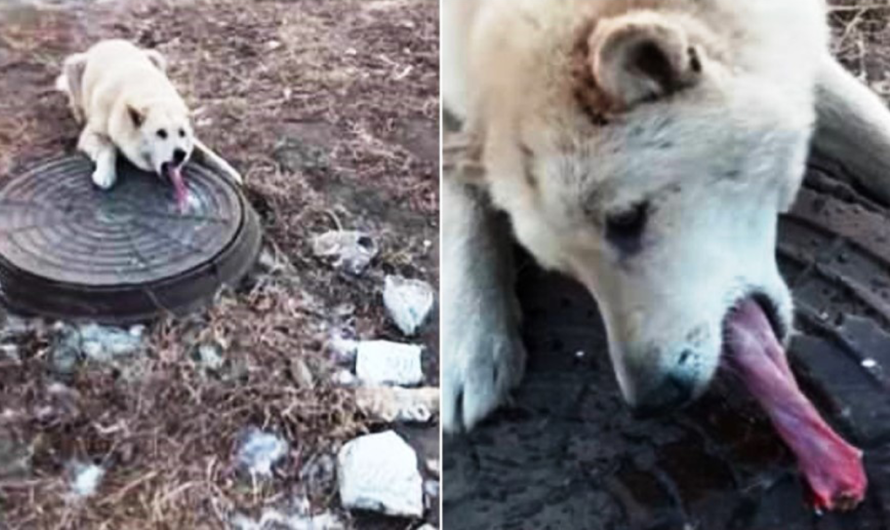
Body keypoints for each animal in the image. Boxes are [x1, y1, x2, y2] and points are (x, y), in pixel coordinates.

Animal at [56, 39, 243, 208]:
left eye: (182, 133)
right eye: (161, 133)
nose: (180, 154)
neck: (150, 97)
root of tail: (108, 41)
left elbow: (206, 152)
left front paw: (229, 171)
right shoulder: (92, 133)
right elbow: (109, 148)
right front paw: (105, 175)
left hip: (155, 56)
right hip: (74, 64)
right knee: (76, 102)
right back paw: (78, 114)